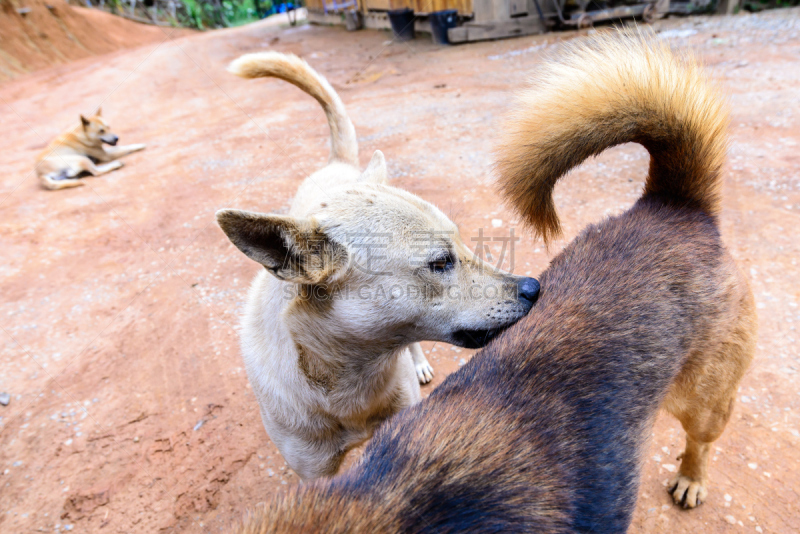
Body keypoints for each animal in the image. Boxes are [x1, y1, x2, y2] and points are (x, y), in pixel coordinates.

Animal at [233, 30, 756, 534]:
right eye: (440, 262)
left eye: (463, 245)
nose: (533, 288)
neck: (346, 385)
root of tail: (673, 205)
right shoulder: (313, 470)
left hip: (702, 400)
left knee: (702, 439)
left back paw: (691, 478)